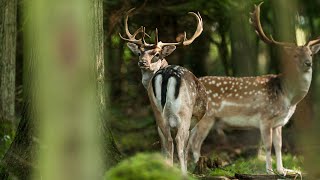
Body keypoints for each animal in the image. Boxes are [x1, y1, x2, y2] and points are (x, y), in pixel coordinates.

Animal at [119, 9, 208, 173]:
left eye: (156, 54)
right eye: (139, 53)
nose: (142, 62)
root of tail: (167, 74)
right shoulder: (194, 120)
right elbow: (187, 145)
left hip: (157, 110)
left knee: (167, 140)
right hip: (183, 113)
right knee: (178, 141)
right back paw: (182, 172)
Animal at [186, 2, 320, 175]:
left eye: (311, 54)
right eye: (295, 55)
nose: (308, 63)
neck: (288, 97)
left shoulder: (279, 122)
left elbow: (279, 145)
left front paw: (283, 170)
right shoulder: (265, 117)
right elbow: (268, 146)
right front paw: (270, 171)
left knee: (187, 139)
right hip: (207, 117)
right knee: (195, 142)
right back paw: (198, 168)